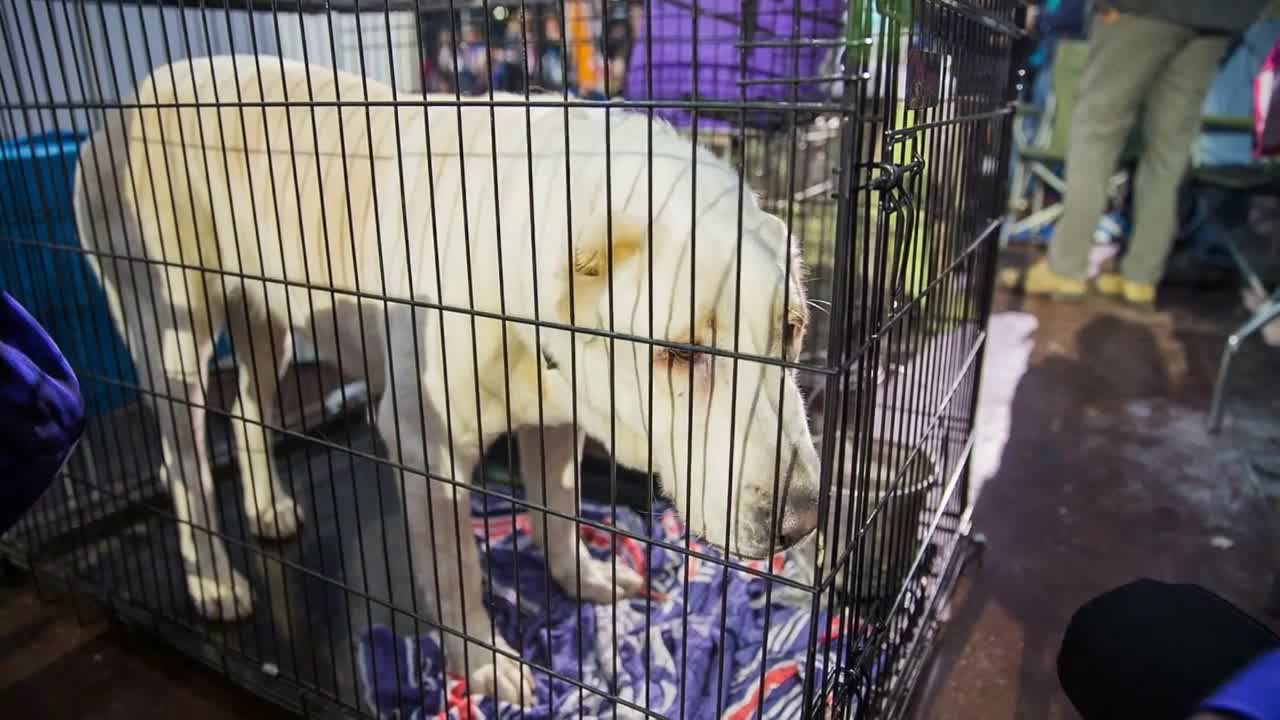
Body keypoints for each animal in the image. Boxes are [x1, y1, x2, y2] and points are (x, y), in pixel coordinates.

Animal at [72, 54, 819, 702]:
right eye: (682, 352)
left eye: (792, 329)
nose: (803, 520)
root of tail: (129, 101)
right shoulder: (423, 450)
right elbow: (457, 570)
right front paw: (486, 664)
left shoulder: (559, 424)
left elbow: (558, 516)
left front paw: (582, 579)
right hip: (173, 337)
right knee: (185, 464)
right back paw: (214, 580)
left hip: (269, 324)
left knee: (248, 407)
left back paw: (268, 508)